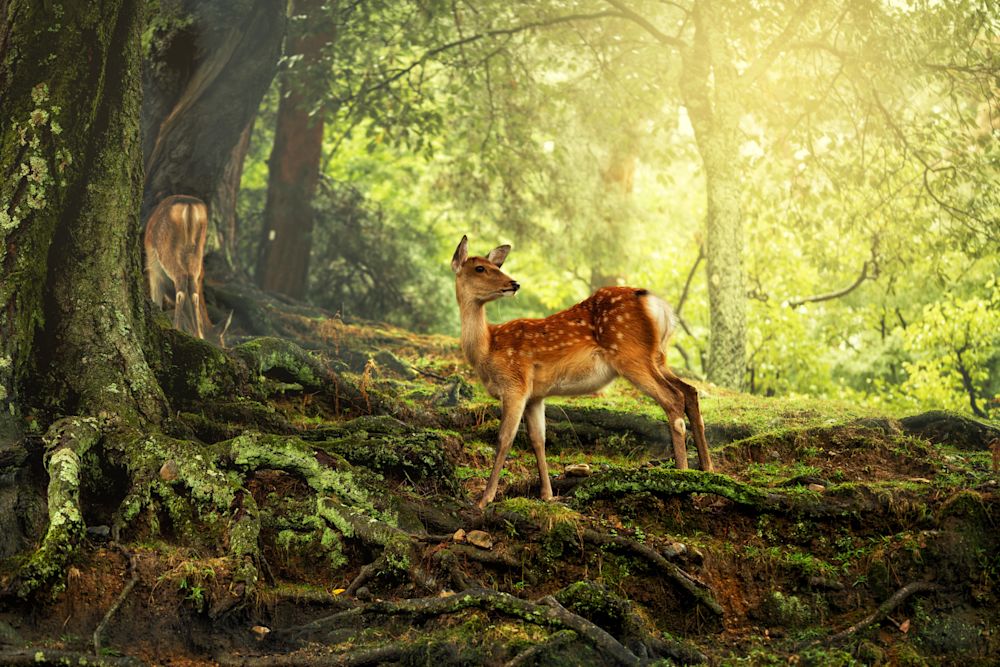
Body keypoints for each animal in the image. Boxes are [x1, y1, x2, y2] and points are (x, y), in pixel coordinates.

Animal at [145, 195, 231, 347]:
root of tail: (189, 205)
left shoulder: (154, 273)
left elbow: (157, 301)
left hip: (165, 248)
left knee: (181, 281)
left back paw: (176, 328)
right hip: (197, 253)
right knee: (193, 292)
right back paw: (198, 335)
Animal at [451, 235, 713, 508]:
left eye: (496, 266)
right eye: (480, 268)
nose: (514, 283)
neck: (487, 348)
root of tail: (657, 305)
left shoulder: (515, 384)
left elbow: (505, 438)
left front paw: (484, 499)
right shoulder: (535, 395)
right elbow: (538, 439)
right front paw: (547, 495)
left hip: (631, 356)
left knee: (673, 398)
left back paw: (682, 477)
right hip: (658, 356)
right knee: (690, 391)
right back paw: (707, 472)